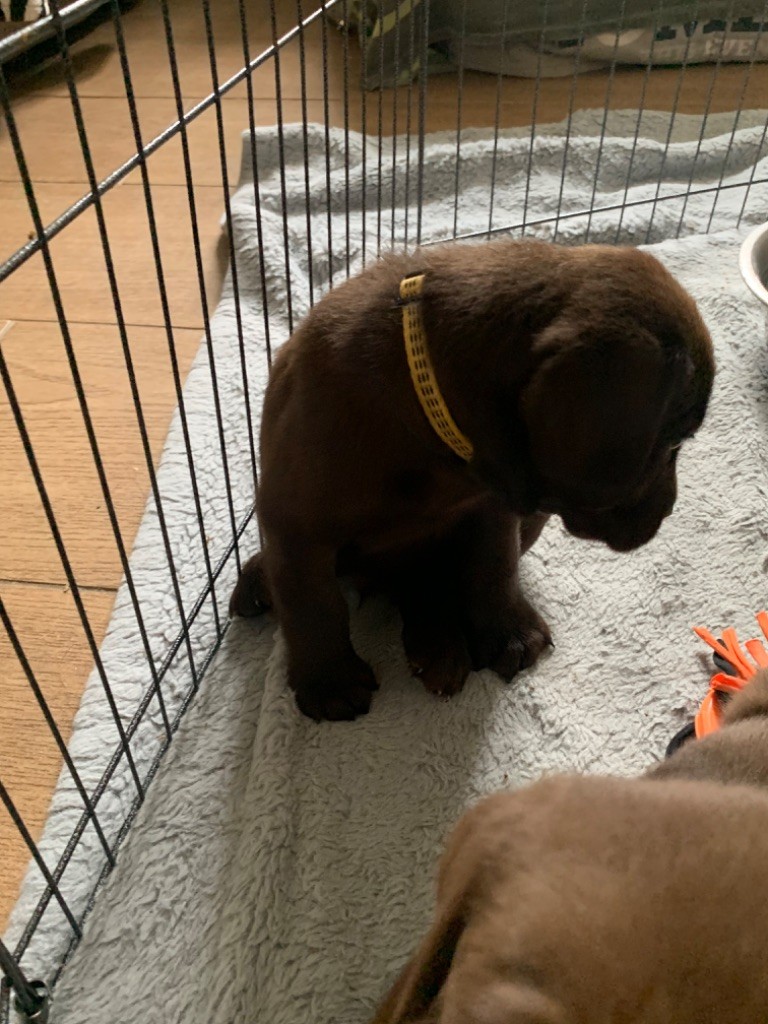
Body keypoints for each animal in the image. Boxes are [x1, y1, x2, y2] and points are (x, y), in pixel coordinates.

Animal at [230, 240, 714, 721]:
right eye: (675, 441)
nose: (670, 510)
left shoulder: (494, 504)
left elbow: (494, 567)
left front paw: (509, 633)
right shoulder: (295, 524)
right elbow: (313, 606)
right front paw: (330, 682)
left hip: (528, 520)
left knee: (430, 583)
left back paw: (438, 648)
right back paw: (258, 579)